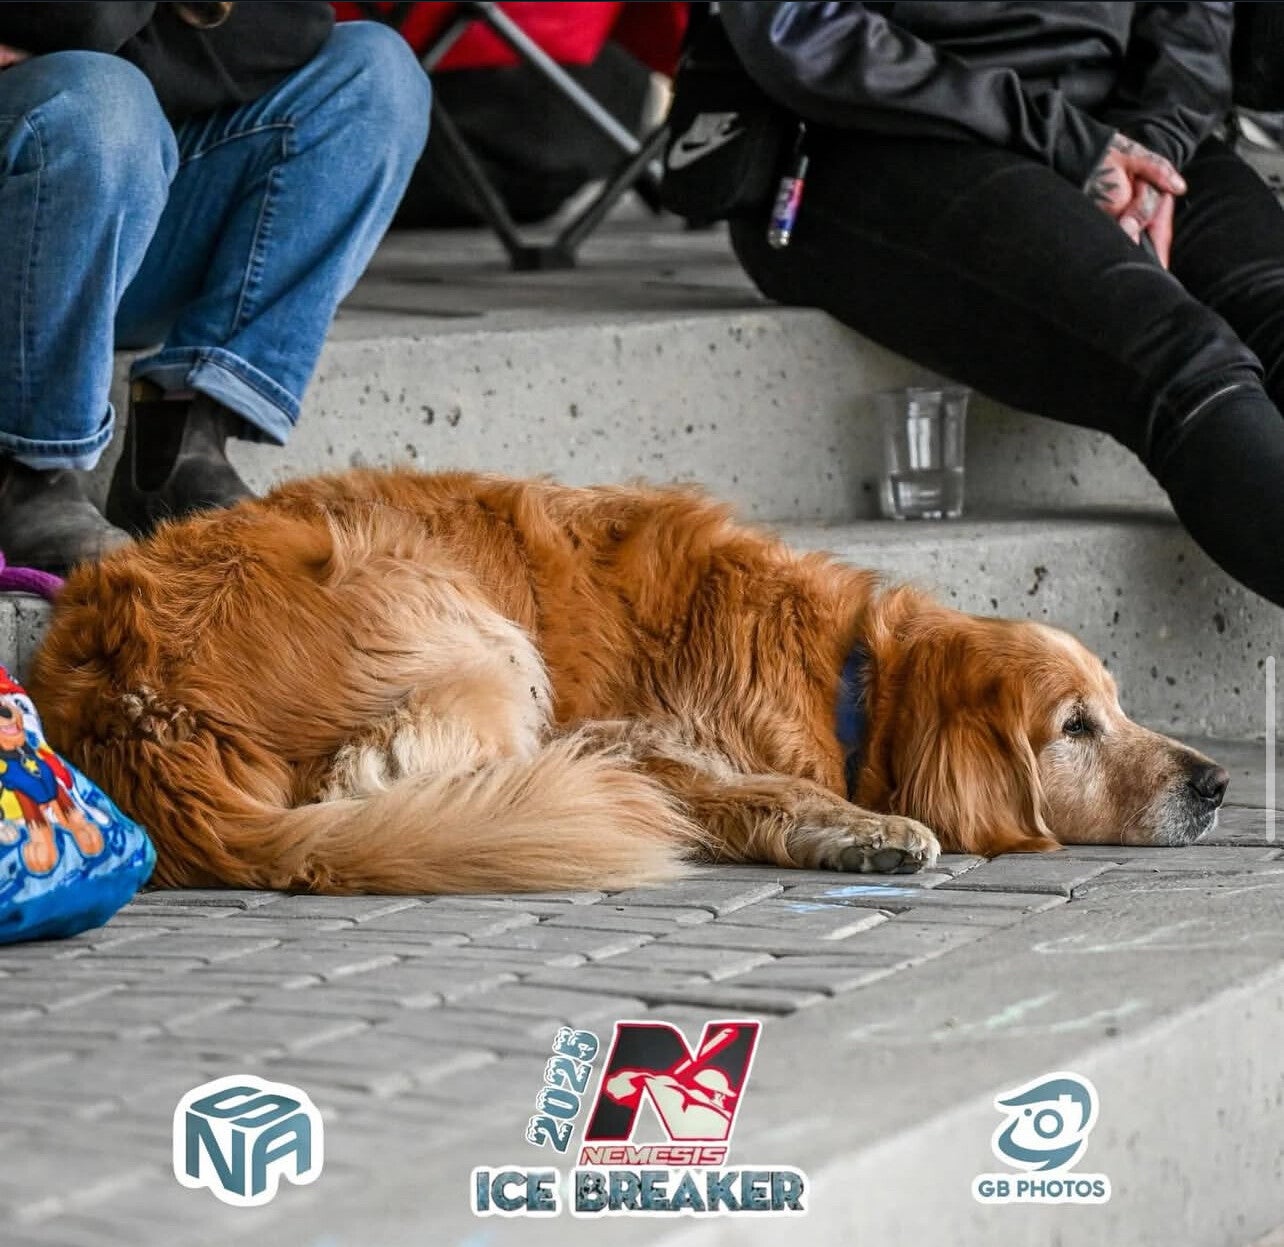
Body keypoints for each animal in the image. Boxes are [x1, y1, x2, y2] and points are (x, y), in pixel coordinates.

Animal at [27, 469, 1228, 894]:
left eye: (1122, 703)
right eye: (1074, 726)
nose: (1217, 784)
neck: (851, 674)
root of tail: (125, 692)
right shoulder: (634, 730)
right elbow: (742, 781)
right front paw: (858, 824)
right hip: (477, 635)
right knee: (368, 785)